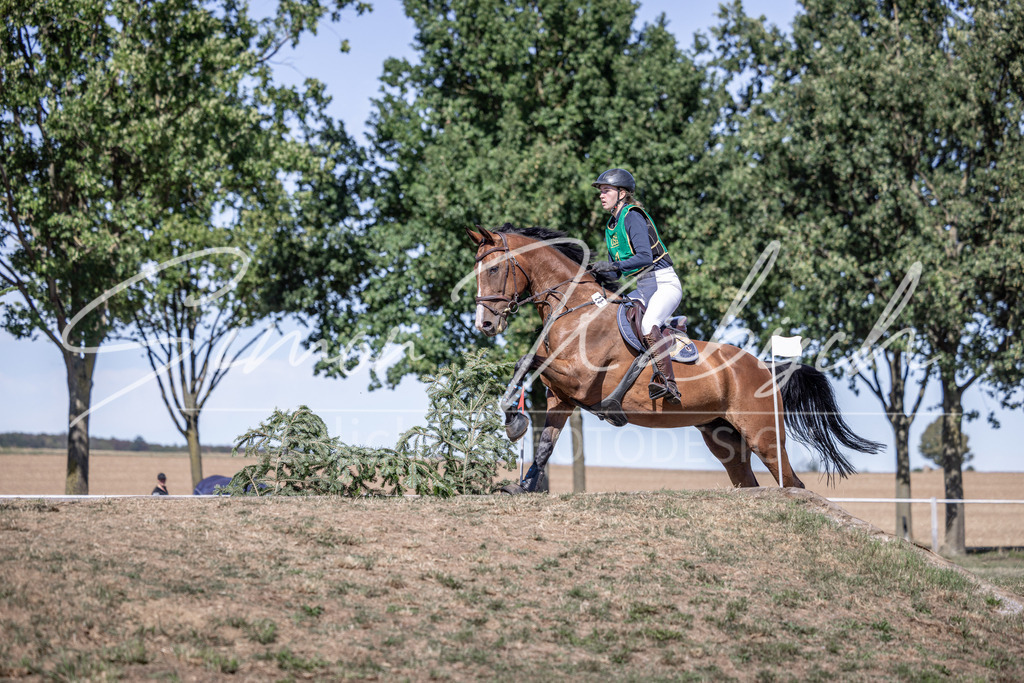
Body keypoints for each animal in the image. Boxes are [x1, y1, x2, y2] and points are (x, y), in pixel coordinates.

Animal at [467, 224, 883, 493]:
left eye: (494, 268)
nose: (485, 324)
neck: (577, 310)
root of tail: (765, 367)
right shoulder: (563, 397)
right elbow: (544, 441)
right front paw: (523, 481)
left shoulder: (581, 379)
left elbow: (526, 360)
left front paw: (513, 421)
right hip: (724, 438)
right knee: (747, 481)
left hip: (764, 436)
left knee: (792, 482)